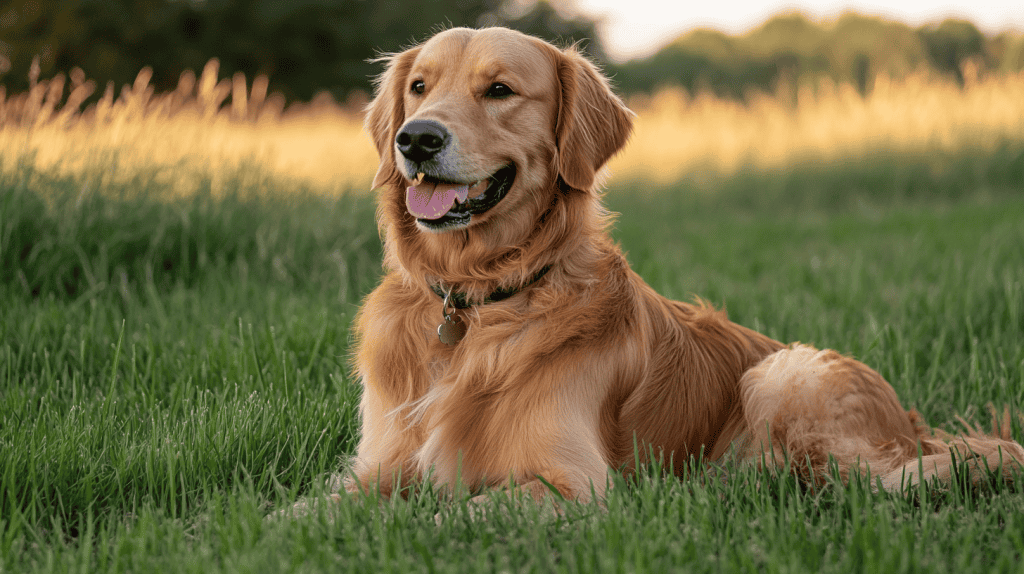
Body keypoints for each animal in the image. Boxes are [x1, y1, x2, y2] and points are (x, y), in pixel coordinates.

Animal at [346, 26, 1024, 501]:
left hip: (786, 375)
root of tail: (909, 420)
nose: (416, 138)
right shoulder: (370, 472)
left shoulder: (576, 489)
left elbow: (460, 511)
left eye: (499, 90)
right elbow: (327, 512)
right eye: (419, 87)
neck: (476, 302)